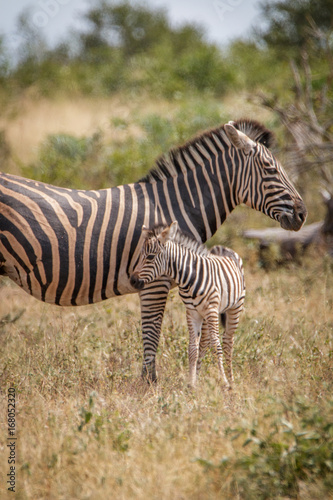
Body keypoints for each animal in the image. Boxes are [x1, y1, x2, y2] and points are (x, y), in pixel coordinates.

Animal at [130, 221, 244, 388]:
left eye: (150, 257)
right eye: (140, 256)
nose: (132, 281)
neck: (190, 278)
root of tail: (224, 249)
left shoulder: (211, 310)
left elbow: (216, 345)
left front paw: (223, 382)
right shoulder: (192, 312)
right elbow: (192, 348)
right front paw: (192, 383)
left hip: (234, 308)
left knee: (228, 342)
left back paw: (230, 380)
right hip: (207, 315)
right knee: (204, 342)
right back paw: (201, 375)